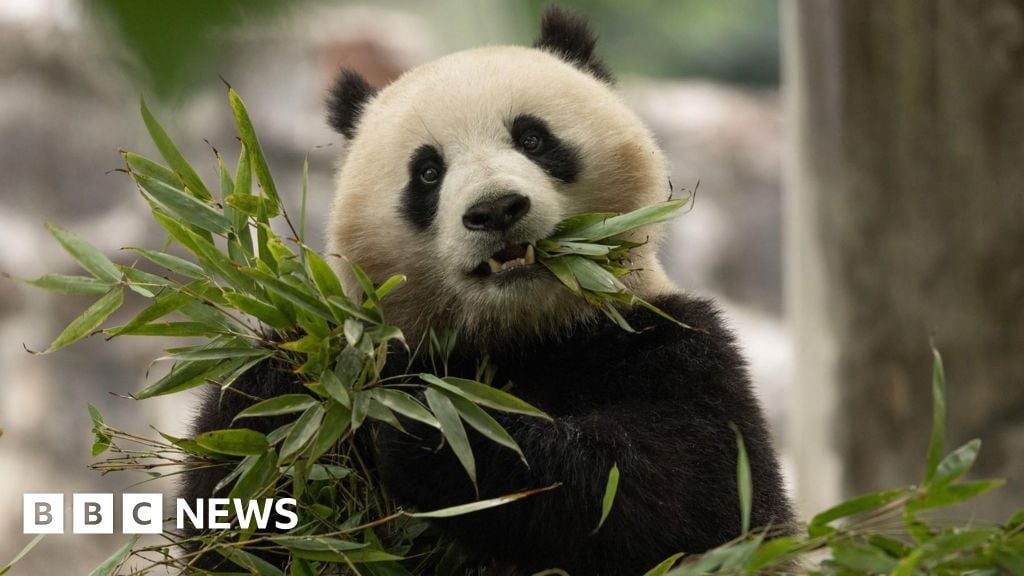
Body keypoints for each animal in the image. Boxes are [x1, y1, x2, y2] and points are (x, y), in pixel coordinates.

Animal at [182, 5, 790, 573]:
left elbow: (687, 492)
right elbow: (236, 510)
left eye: (533, 138)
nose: (496, 209)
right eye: (428, 172)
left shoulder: (670, 341)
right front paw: (294, 389)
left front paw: (431, 427)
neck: (519, 333)